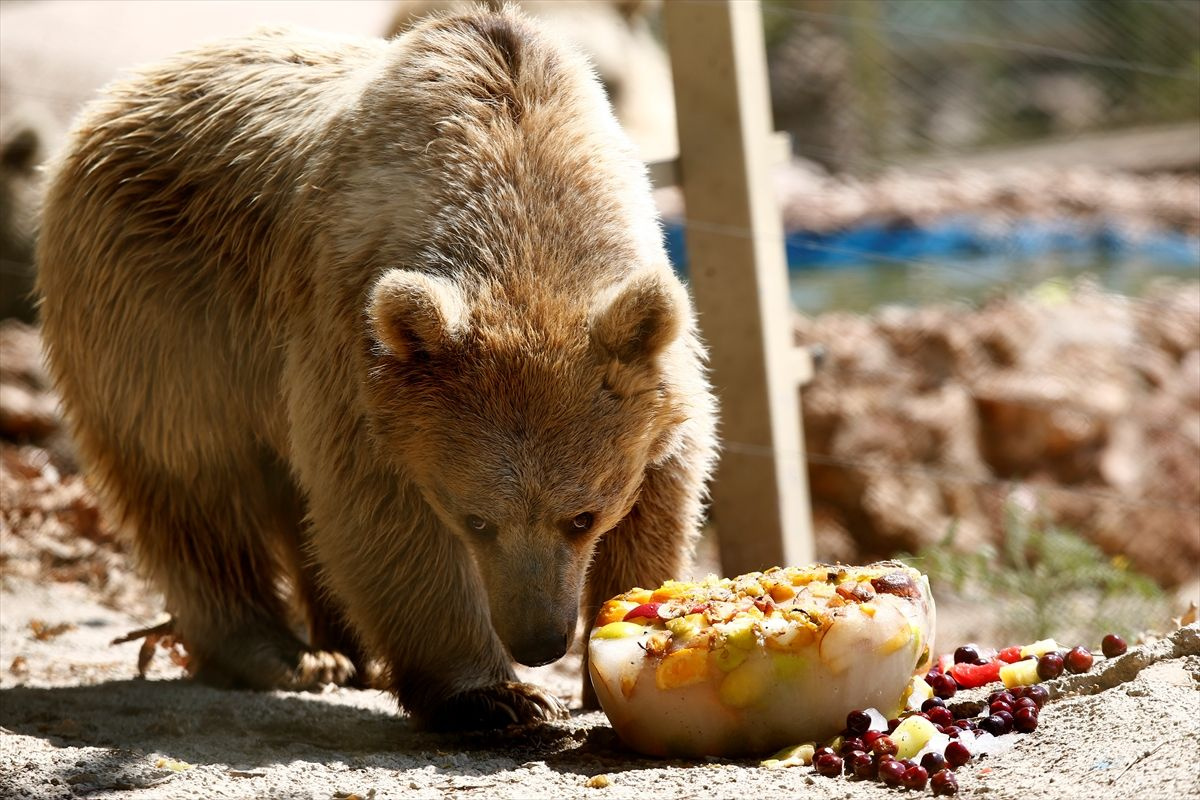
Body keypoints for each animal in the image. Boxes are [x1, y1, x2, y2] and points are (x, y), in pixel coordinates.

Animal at [35, 7, 710, 734]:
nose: (538, 642)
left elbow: (665, 488)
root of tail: (112, 100)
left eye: (583, 517)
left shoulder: (652, 367)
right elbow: (380, 511)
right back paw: (282, 653)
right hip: (160, 302)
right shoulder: (355, 350)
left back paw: (343, 649)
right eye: (475, 520)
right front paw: (495, 696)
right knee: (190, 472)